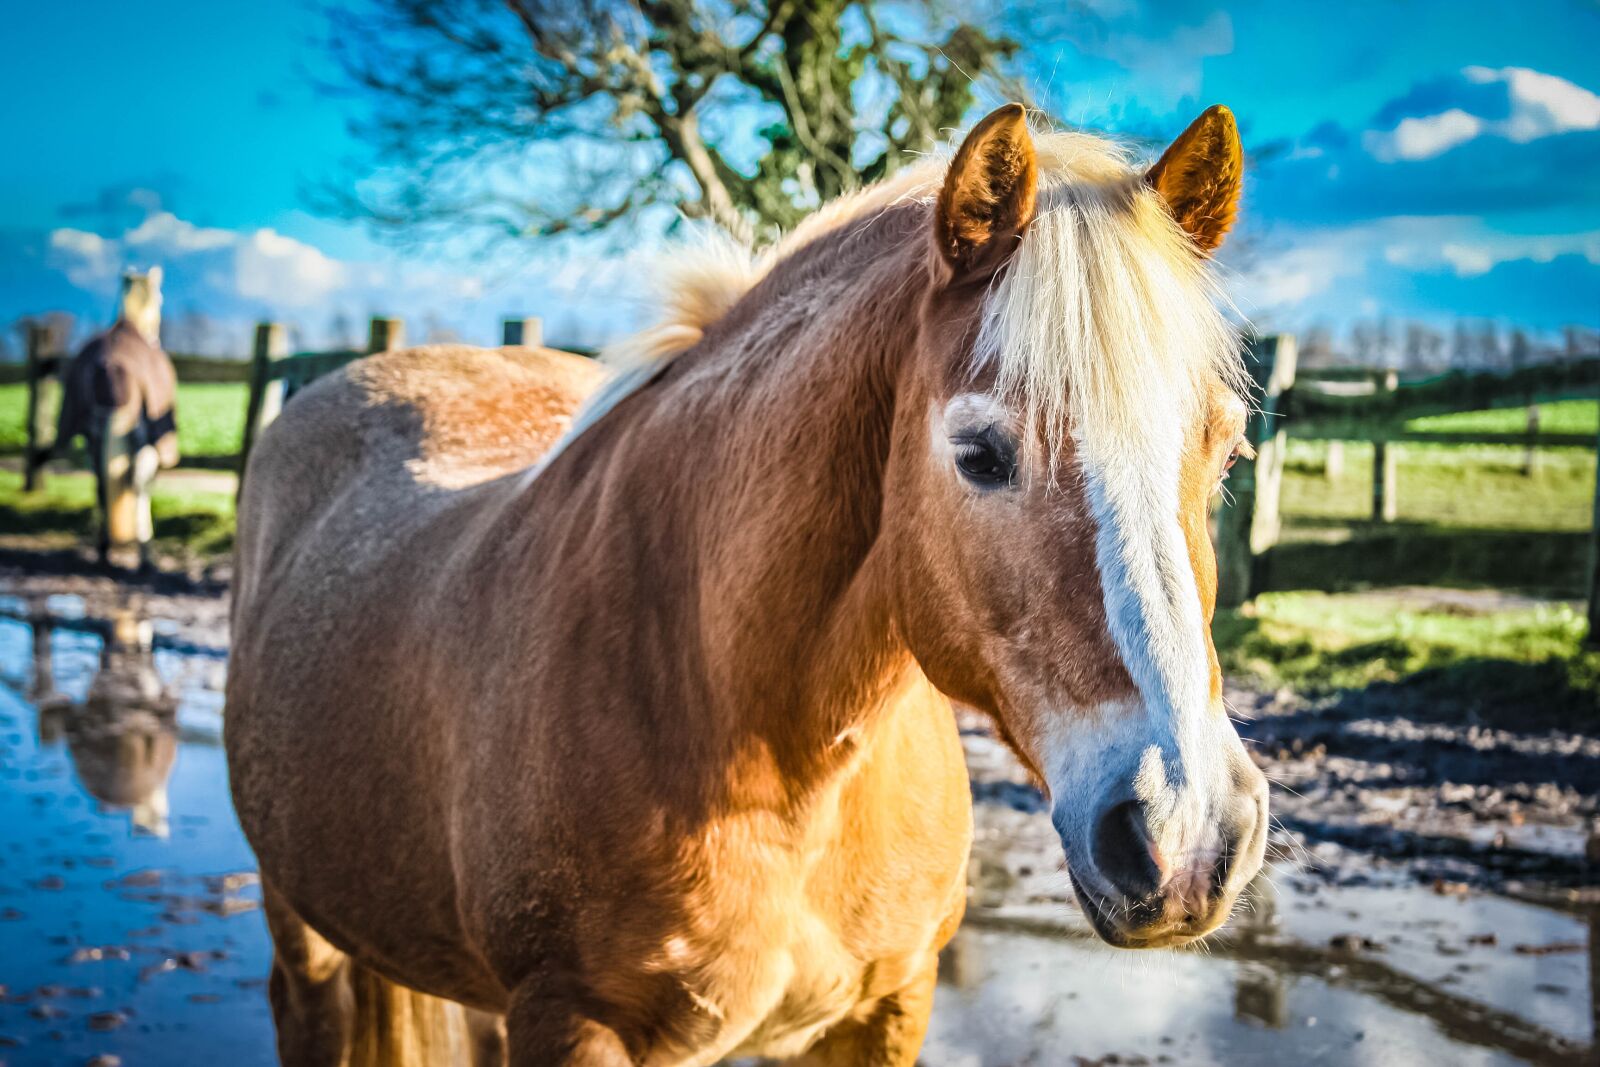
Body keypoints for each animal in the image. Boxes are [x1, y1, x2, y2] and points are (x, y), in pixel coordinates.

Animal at [55, 267, 180, 572]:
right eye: (160, 297)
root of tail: (111, 366)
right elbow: (142, 485)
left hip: (93, 435)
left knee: (101, 482)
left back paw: (104, 548)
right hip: (143, 438)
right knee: (137, 483)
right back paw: (145, 553)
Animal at [228, 102, 1273, 1067]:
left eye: (1228, 450)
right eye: (980, 454)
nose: (1185, 835)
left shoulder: (890, 1003)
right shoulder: (572, 1022)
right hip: (304, 935)